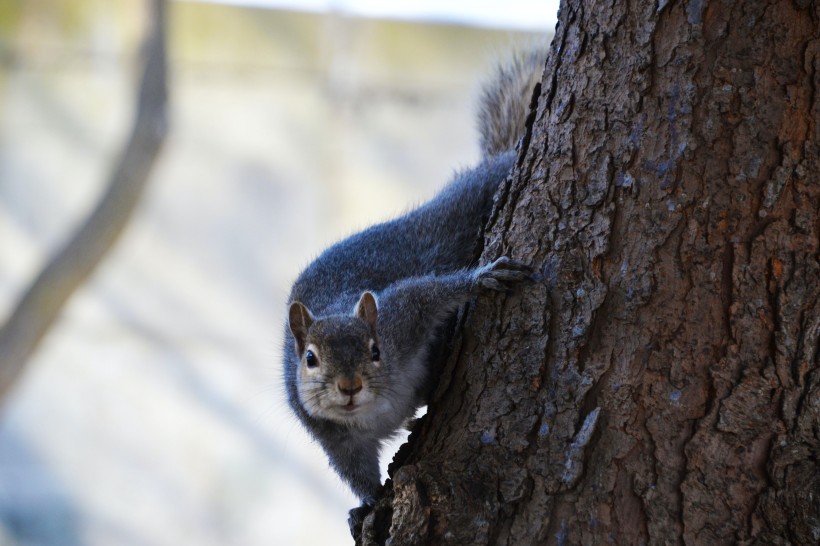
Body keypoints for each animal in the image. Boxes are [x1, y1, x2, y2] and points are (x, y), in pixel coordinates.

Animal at [282, 51, 544, 524]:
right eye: (309, 359)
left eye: (375, 350)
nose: (349, 387)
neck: (375, 410)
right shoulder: (334, 439)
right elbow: (355, 472)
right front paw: (368, 505)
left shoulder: (401, 314)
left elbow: (429, 292)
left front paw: (483, 278)